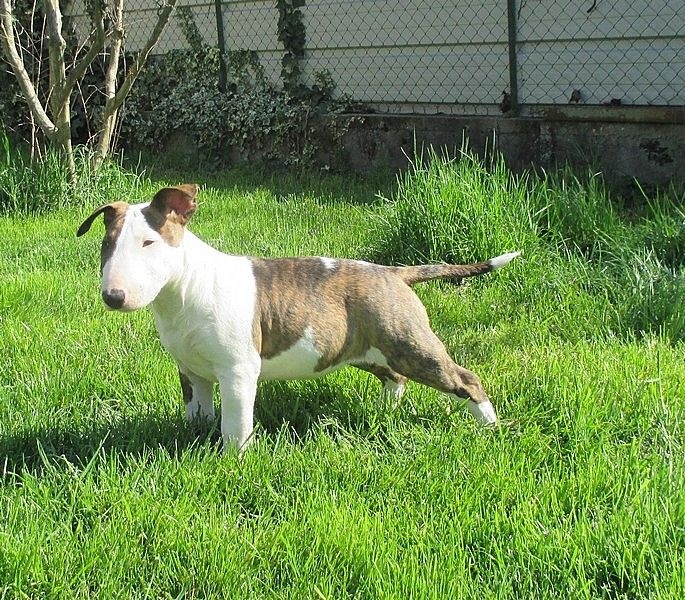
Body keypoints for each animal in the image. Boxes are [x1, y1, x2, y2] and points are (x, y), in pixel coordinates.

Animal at [77, 184, 519, 451]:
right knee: (395, 377)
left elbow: (235, 424)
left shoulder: (238, 371)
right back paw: (385, 411)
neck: (185, 288)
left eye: (149, 243)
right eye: (107, 244)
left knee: (464, 379)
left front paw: (231, 460)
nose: (113, 296)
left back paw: (490, 426)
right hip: (370, 349)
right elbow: (198, 413)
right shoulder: (192, 372)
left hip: (409, 344)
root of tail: (393, 272)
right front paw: (194, 439)